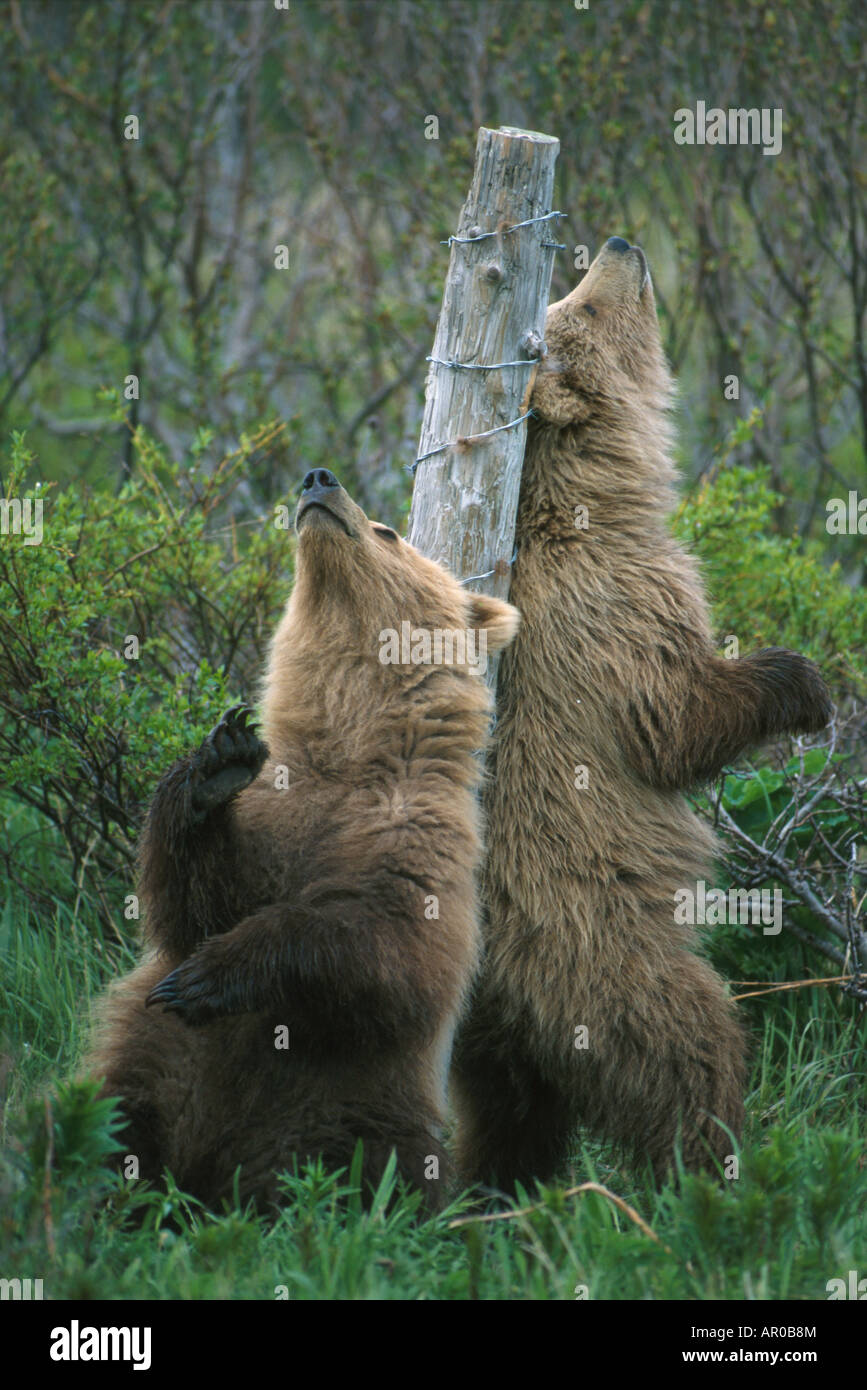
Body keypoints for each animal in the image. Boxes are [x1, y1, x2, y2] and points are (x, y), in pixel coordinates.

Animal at [83, 468, 519, 1213]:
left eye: (388, 531)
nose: (320, 479)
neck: (351, 751)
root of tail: (213, 1181)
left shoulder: (418, 837)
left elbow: (383, 942)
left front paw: (207, 977)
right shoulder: (277, 814)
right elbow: (190, 903)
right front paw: (217, 760)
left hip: (355, 1109)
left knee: (380, 1173)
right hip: (152, 1068)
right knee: (107, 1127)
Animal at [451, 236, 832, 1193]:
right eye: (580, 306)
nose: (620, 246)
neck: (599, 500)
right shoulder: (614, 616)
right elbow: (675, 722)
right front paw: (799, 682)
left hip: (490, 1036)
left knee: (506, 1119)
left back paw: (486, 1198)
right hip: (605, 958)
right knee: (688, 1046)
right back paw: (715, 1169)